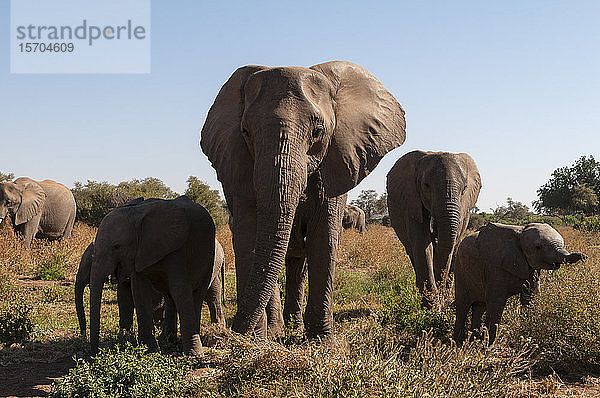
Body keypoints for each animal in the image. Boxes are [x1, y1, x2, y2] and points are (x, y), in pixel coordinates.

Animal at [89, 197, 216, 358]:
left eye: (117, 246)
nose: (95, 354)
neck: (136, 213)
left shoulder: (176, 251)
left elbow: (180, 289)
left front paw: (194, 355)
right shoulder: (139, 254)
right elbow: (139, 291)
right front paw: (149, 351)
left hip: (209, 257)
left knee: (196, 295)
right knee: (170, 297)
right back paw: (167, 340)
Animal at [199, 59, 406, 338]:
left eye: (318, 131)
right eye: (245, 132)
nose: (234, 331)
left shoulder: (337, 159)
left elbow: (324, 237)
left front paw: (322, 341)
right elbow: (249, 235)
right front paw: (256, 339)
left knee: (298, 261)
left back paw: (292, 327)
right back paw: (276, 330)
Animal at [386, 151, 480, 296]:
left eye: (464, 188)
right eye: (426, 185)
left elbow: (449, 245)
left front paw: (440, 295)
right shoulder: (412, 202)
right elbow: (423, 244)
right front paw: (430, 300)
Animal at [452, 222, 584, 344]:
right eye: (538, 247)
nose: (582, 256)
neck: (520, 232)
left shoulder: (531, 269)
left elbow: (530, 297)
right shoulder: (495, 266)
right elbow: (496, 303)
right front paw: (489, 346)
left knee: (479, 306)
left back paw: (473, 340)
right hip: (460, 269)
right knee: (462, 306)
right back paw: (458, 342)